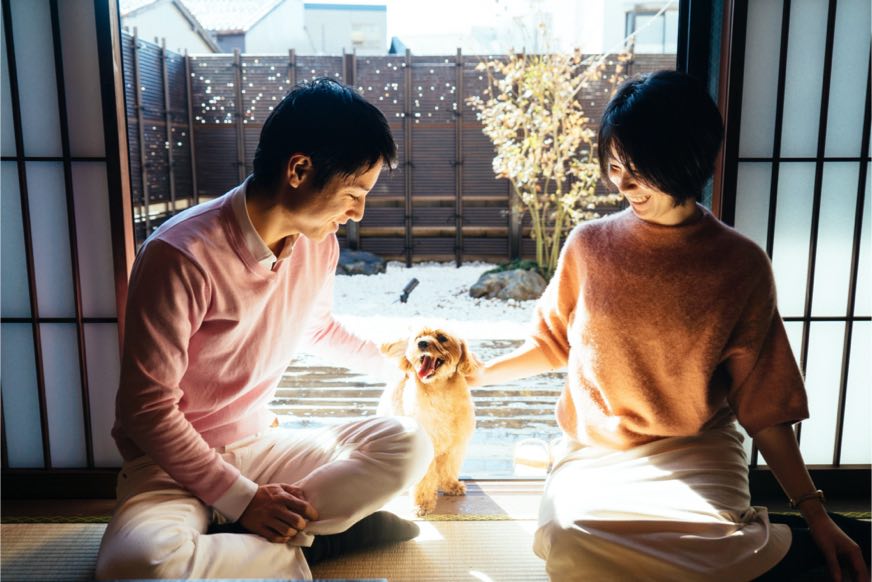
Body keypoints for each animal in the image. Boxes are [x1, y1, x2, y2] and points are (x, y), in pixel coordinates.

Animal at [378, 328, 480, 516]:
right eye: (418, 337)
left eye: (442, 338)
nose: (422, 343)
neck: (439, 391)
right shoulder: (426, 448)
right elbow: (424, 480)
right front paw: (423, 504)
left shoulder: (455, 446)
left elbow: (448, 468)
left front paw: (451, 486)